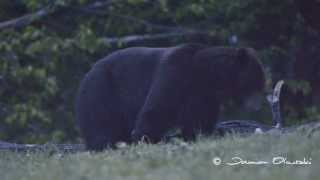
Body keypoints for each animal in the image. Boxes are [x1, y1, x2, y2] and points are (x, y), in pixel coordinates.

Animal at [75, 43, 264, 150]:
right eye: (255, 85)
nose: (257, 106)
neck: (206, 74)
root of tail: (87, 73)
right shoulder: (175, 73)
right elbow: (156, 110)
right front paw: (146, 140)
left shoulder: (204, 94)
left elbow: (198, 120)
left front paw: (207, 133)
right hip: (101, 92)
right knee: (101, 124)